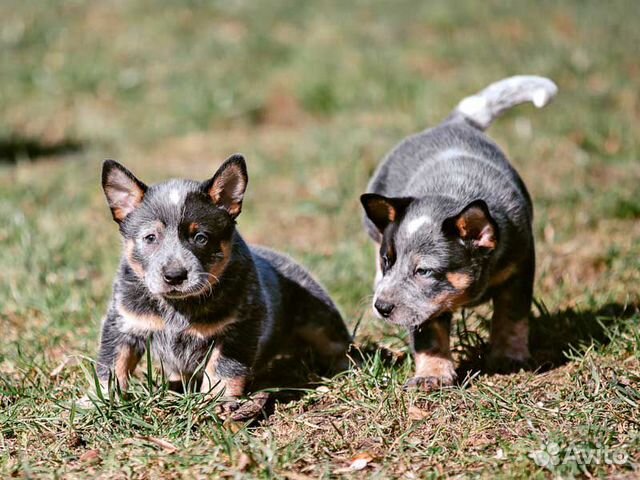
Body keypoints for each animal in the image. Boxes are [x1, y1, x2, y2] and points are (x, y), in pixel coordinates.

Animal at [97, 154, 352, 412]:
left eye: (200, 237)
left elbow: (222, 368)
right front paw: (99, 401)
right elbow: (112, 364)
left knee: (339, 345)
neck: (177, 308)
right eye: (150, 237)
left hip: (321, 320)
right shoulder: (123, 323)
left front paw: (215, 400)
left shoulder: (238, 328)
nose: (175, 275)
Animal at [362, 74, 556, 390]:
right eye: (387, 260)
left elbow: (512, 315)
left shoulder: (520, 264)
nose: (382, 306)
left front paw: (509, 357)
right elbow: (429, 335)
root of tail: (451, 124)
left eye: (424, 271)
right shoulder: (426, 307)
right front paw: (432, 375)